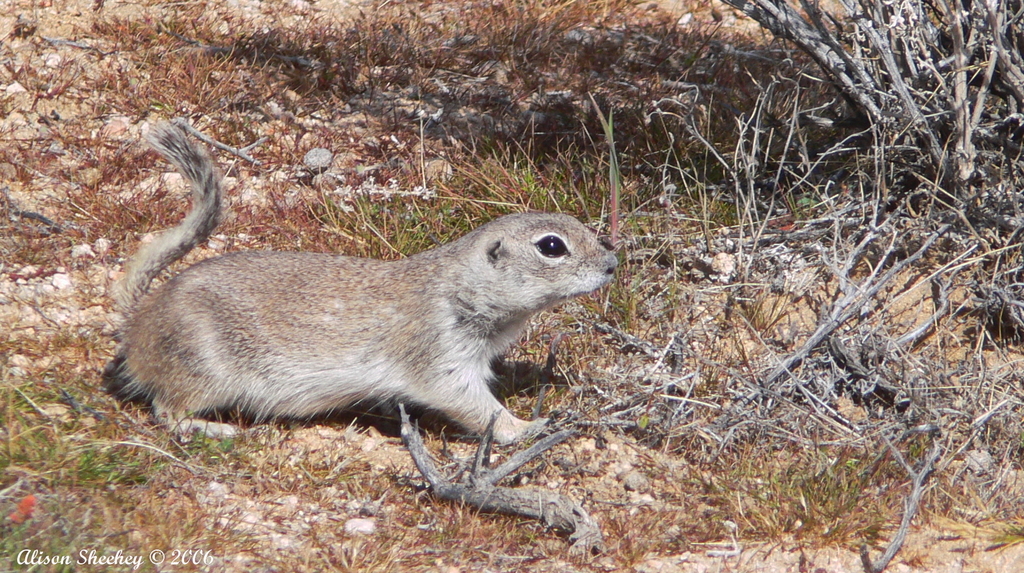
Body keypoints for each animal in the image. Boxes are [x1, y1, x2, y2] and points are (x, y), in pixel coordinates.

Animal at [105, 123, 614, 446]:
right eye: (552, 246)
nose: (612, 264)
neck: (461, 284)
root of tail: (138, 323)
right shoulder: (441, 359)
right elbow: (477, 408)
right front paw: (530, 428)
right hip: (201, 372)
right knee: (168, 412)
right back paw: (217, 430)